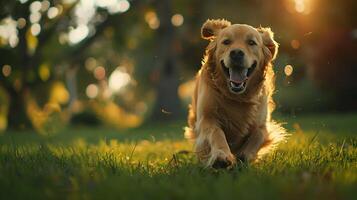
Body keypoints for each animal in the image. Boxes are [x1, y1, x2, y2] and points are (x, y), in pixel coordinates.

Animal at [184, 19, 286, 169]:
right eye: (226, 42)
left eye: (251, 42)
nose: (237, 53)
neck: (237, 97)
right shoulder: (207, 119)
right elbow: (217, 133)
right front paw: (221, 156)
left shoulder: (263, 125)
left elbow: (257, 135)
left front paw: (243, 157)